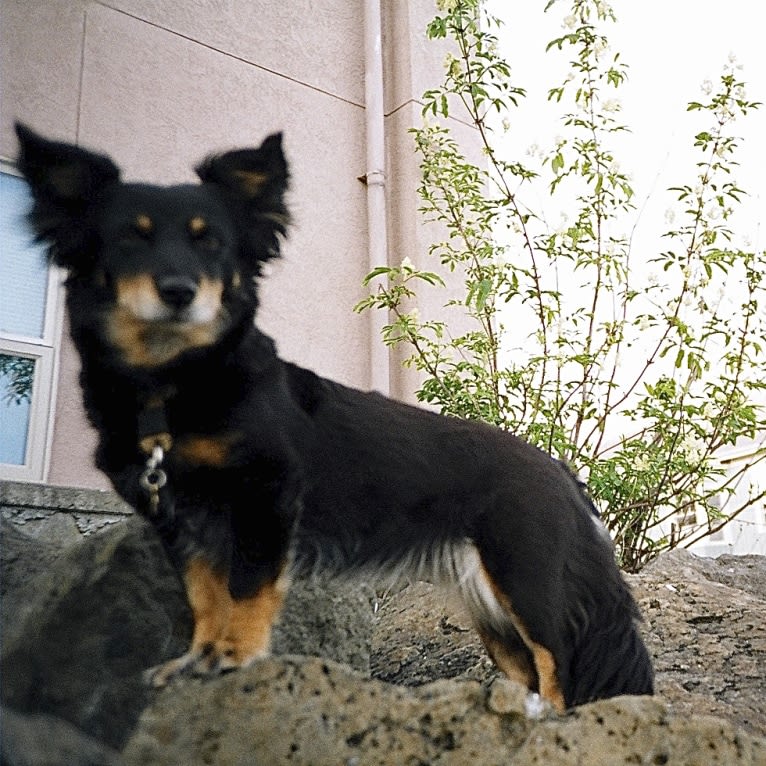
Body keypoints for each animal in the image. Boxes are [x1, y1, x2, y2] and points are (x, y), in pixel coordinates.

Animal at [16, 123, 656, 712]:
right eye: (130, 239)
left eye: (213, 244)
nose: (179, 291)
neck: (176, 384)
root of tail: (561, 472)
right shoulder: (182, 519)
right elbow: (207, 598)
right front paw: (198, 661)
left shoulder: (266, 497)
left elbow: (246, 592)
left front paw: (234, 659)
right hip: (490, 607)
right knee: (531, 670)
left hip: (524, 577)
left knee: (558, 661)